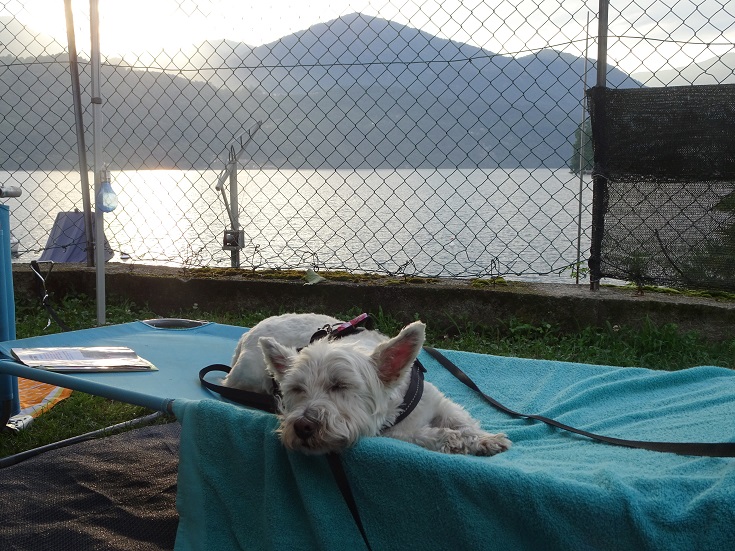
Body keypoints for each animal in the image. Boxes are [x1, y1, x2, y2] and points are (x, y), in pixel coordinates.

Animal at [226, 314, 512, 458]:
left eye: (340, 385)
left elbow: (462, 421)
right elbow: (435, 435)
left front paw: (484, 439)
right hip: (250, 374)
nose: (303, 427)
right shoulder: (394, 433)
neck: (400, 402)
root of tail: (246, 334)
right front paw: (458, 440)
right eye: (297, 389)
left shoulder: (441, 405)